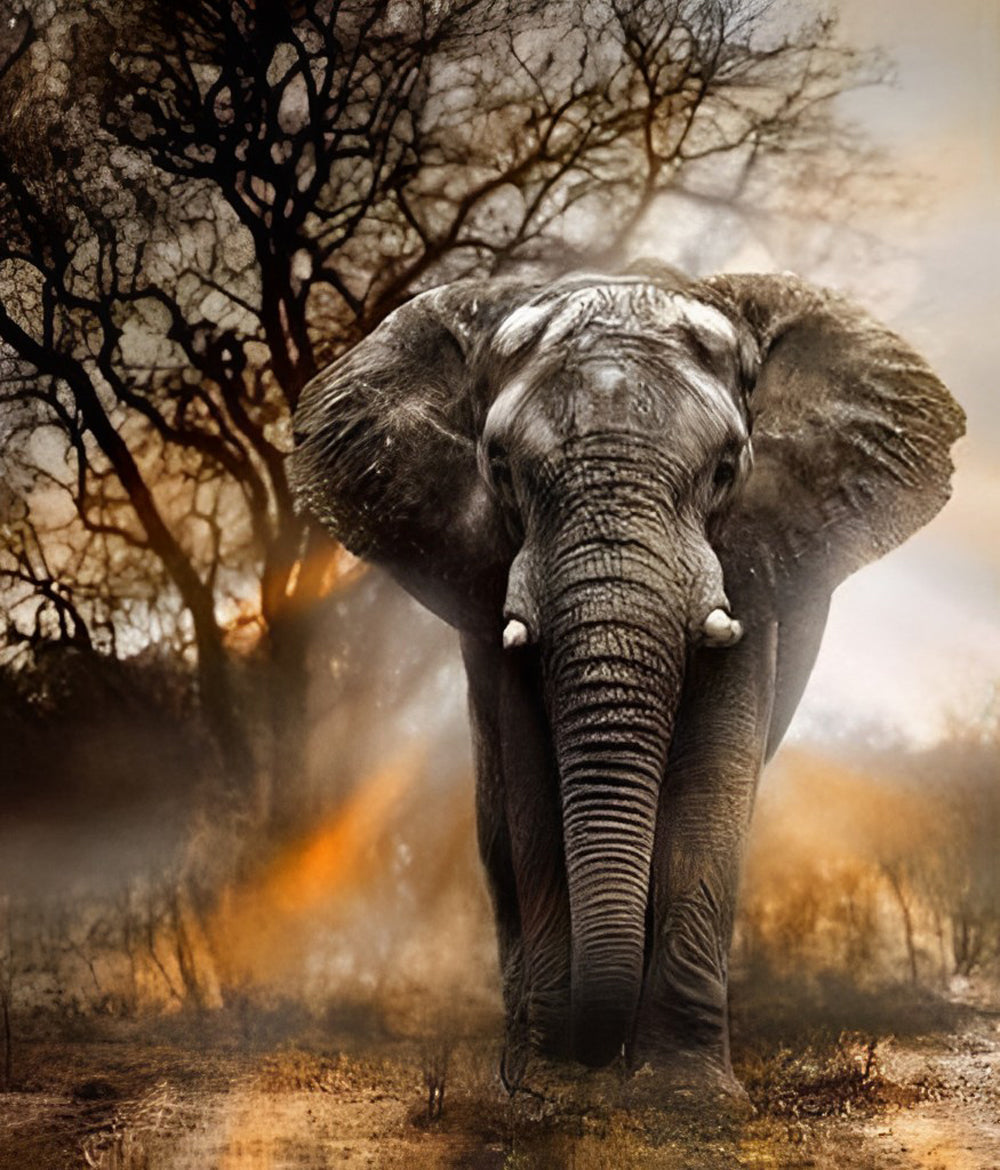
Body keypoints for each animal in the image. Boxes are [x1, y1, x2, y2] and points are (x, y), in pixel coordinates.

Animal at [289, 262, 964, 1095]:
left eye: (726, 470)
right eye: (500, 469)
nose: (584, 1053)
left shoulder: (752, 558)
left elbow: (711, 780)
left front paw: (685, 1097)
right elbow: (532, 784)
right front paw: (549, 1087)